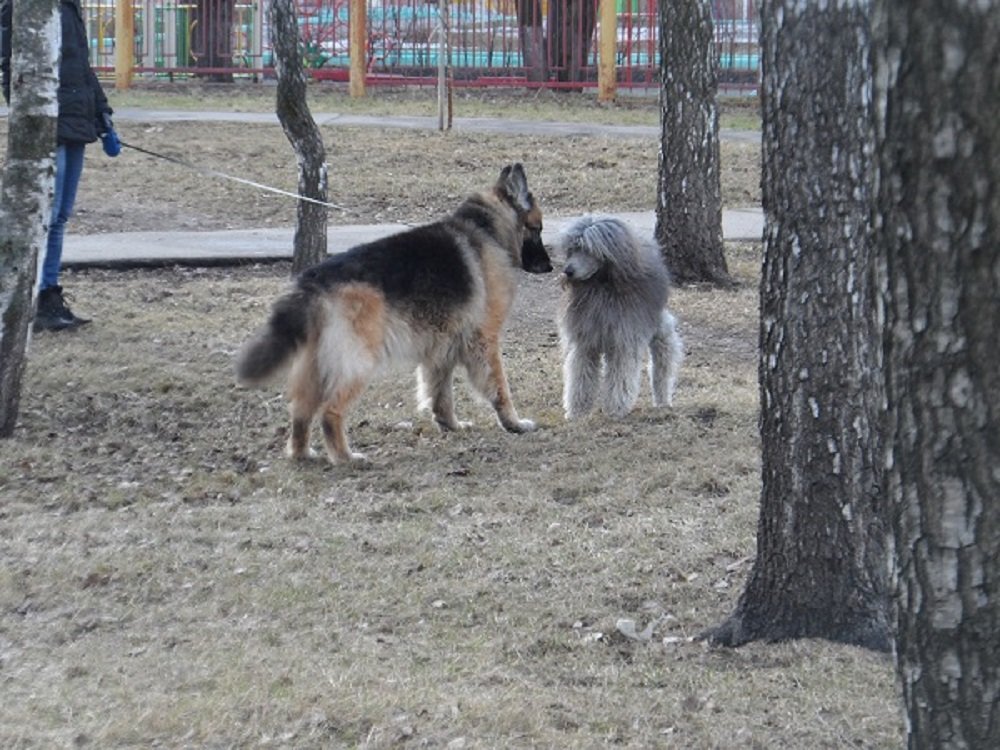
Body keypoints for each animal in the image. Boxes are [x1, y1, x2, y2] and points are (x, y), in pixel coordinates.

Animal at [234, 164, 552, 464]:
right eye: (537, 228)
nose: (550, 267)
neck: (488, 230)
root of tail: (313, 281)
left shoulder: (442, 346)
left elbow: (440, 393)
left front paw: (450, 425)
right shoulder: (484, 341)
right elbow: (499, 387)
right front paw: (513, 423)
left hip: (315, 365)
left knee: (300, 409)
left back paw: (302, 453)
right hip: (358, 361)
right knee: (329, 411)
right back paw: (345, 458)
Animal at [560, 214, 684, 420]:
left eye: (588, 249)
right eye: (573, 249)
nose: (567, 271)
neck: (601, 286)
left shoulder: (623, 341)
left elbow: (620, 375)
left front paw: (616, 408)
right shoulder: (586, 343)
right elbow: (581, 375)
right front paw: (577, 411)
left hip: (659, 330)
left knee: (663, 363)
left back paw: (662, 400)